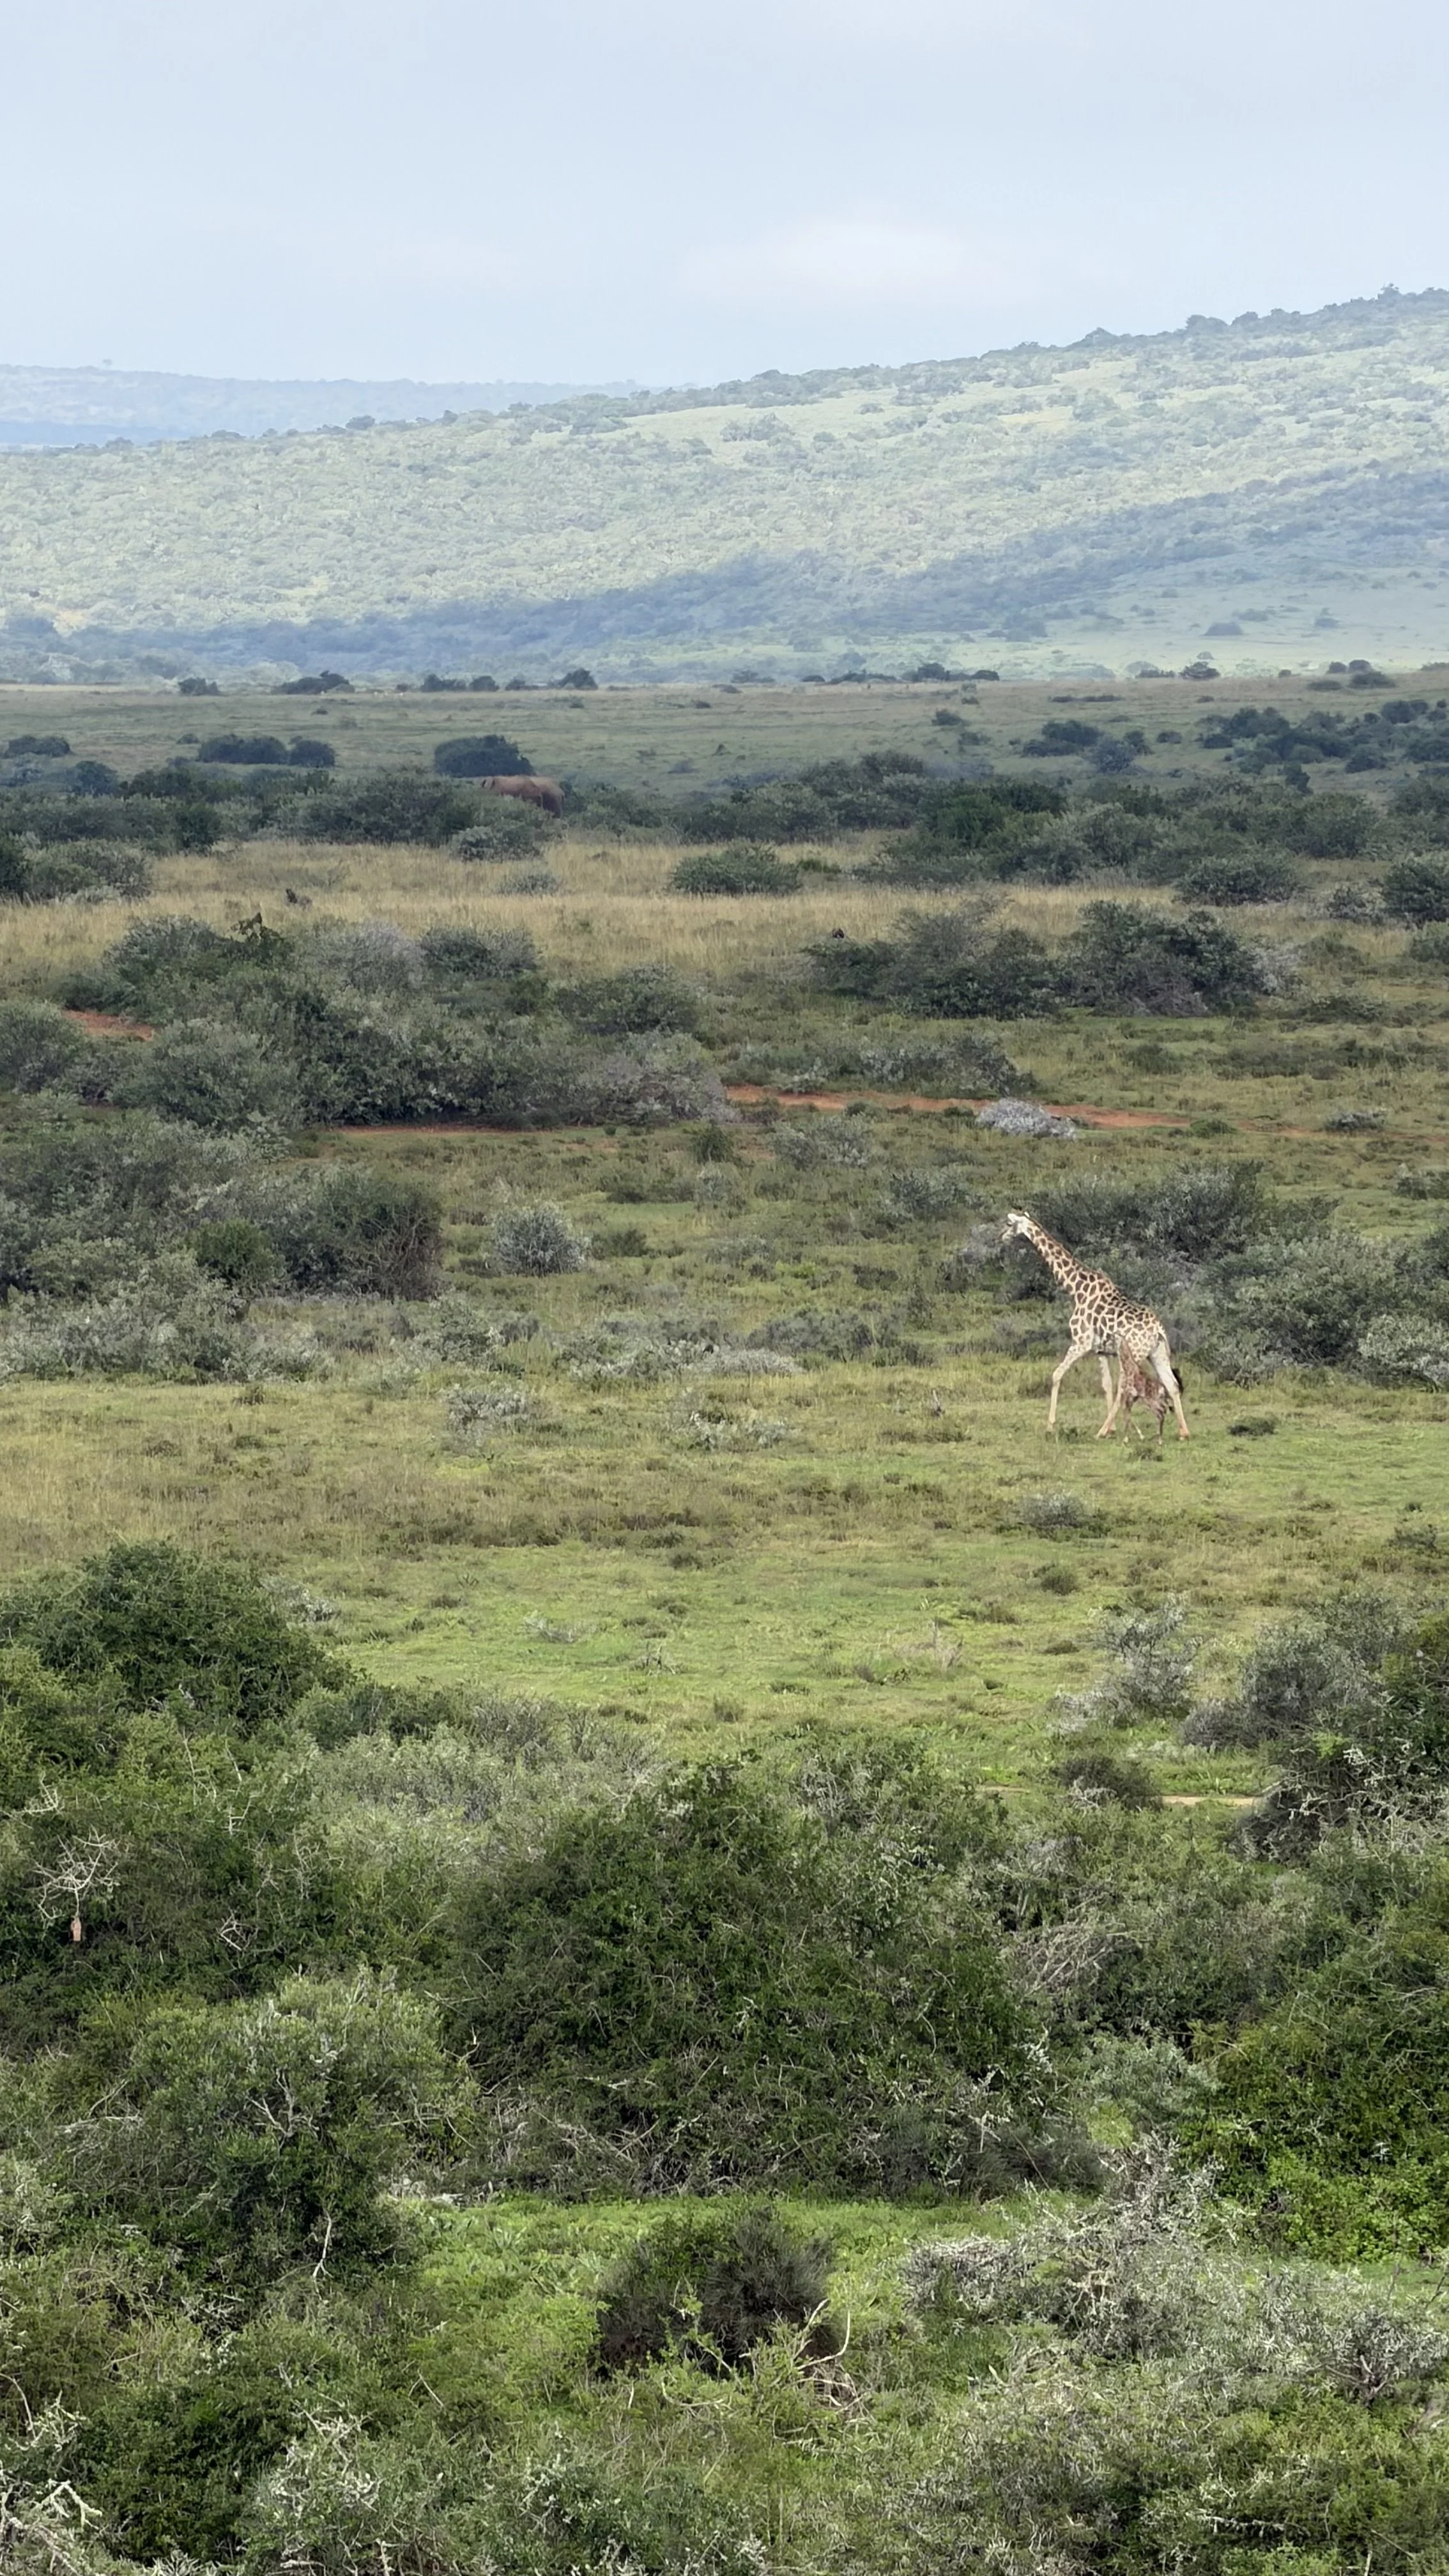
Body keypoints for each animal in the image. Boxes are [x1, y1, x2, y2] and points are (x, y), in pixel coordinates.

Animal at [1000, 1210, 1190, 1440]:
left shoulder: (1081, 1342)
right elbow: (1106, 1385)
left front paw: (1050, 1426)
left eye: (1009, 1223)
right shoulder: (1101, 1350)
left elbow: (1056, 1375)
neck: (1076, 1289)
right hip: (1157, 1353)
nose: (1001, 1237)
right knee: (1171, 1384)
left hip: (1134, 1354)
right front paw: (1113, 1428)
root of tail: (1158, 1330)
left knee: (1126, 1387)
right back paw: (1184, 1432)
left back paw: (1101, 1431)